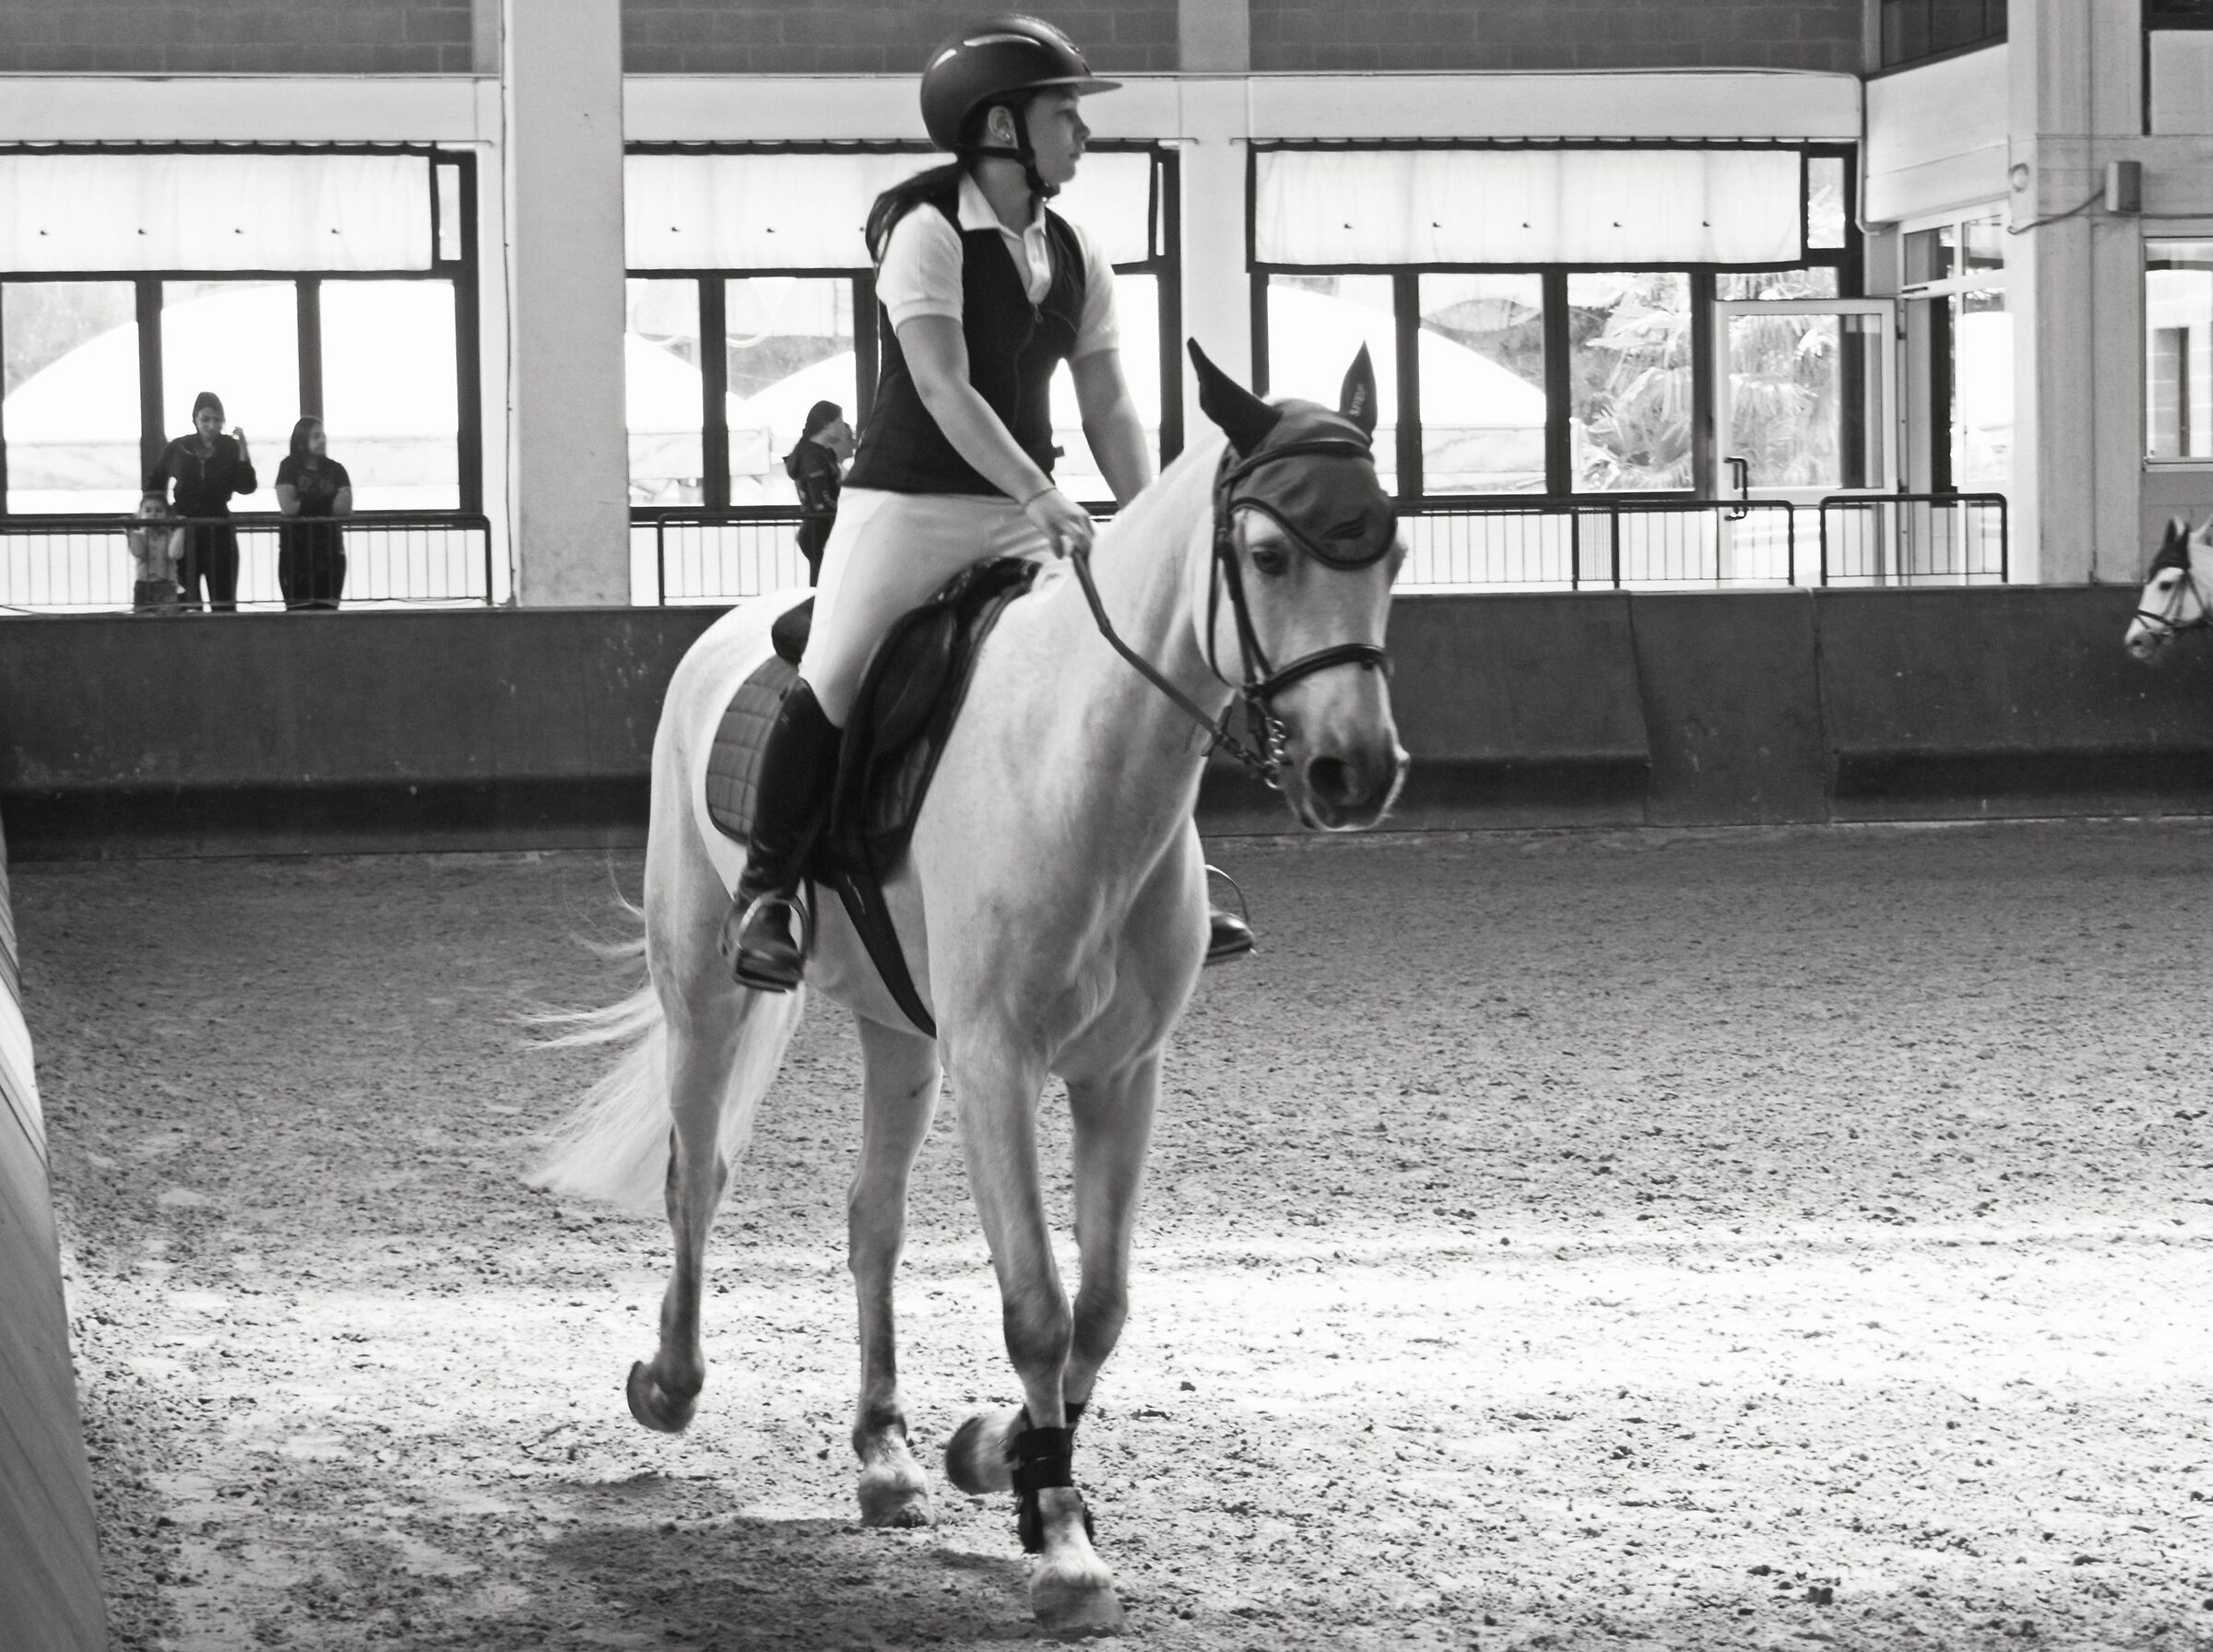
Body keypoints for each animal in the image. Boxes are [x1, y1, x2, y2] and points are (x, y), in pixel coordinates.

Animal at [530, 342, 1408, 1637]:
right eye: (1267, 556)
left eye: (1389, 550)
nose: (1358, 773)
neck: (1083, 759)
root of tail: (722, 636)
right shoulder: (999, 1061)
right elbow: (1037, 1303)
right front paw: (1064, 1546)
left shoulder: (1121, 1073)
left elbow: (1101, 1304)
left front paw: (996, 1457)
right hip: (703, 985)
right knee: (698, 1176)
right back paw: (671, 1384)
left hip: (902, 1031)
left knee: (872, 1217)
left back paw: (884, 1454)